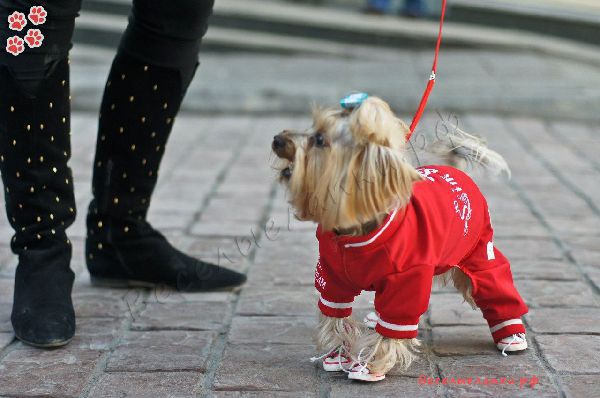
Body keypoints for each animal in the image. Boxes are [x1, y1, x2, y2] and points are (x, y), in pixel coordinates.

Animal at [272, 95, 528, 382]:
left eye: (319, 139)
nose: (277, 139)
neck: (355, 233)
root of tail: (457, 172)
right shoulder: (333, 277)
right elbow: (335, 313)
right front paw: (338, 355)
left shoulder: (406, 280)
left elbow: (394, 325)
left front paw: (370, 365)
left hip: (478, 252)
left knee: (492, 283)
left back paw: (512, 335)